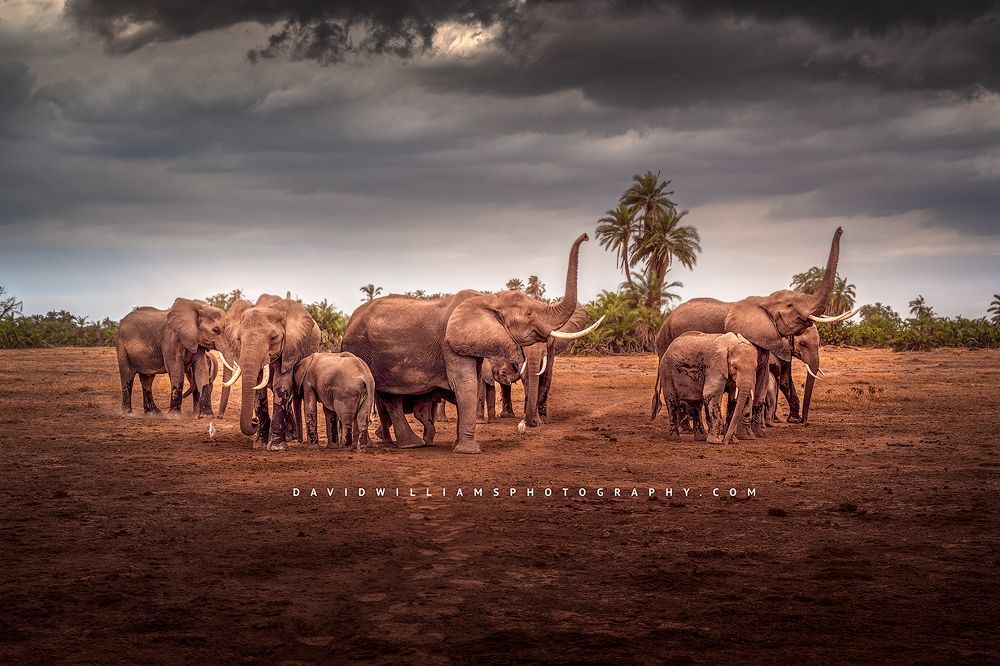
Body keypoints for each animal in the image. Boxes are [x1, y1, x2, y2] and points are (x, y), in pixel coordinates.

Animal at [222, 295, 321, 450]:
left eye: (273, 338)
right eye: (238, 339)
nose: (254, 421)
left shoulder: (290, 349)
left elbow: (281, 385)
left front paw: (276, 447)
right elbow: (258, 390)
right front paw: (260, 445)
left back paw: (289, 437)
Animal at [342, 233, 595, 454]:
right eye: (529, 313)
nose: (586, 236)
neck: (489, 298)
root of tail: (349, 323)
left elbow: (473, 382)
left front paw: (459, 445)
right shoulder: (449, 345)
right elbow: (465, 384)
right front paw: (469, 451)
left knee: (391, 397)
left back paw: (411, 444)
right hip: (360, 349)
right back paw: (383, 445)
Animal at [652, 227, 854, 438]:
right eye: (803, 344)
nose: (840, 229)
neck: (764, 301)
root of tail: (664, 323)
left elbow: (771, 382)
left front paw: (759, 433)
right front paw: (747, 434)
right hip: (668, 346)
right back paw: (686, 430)